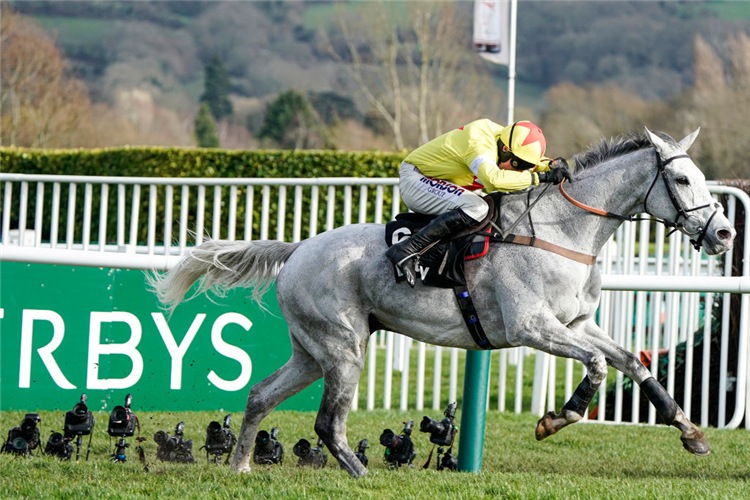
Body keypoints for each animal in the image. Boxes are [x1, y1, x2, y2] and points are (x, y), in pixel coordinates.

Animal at [151, 128, 736, 476]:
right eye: (682, 179)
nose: (725, 233)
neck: (562, 231)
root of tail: (297, 250)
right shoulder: (531, 327)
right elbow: (595, 365)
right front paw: (555, 418)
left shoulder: (576, 322)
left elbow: (631, 363)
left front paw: (690, 432)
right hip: (342, 348)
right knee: (327, 423)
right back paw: (361, 474)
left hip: (311, 352)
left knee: (259, 396)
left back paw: (241, 467)